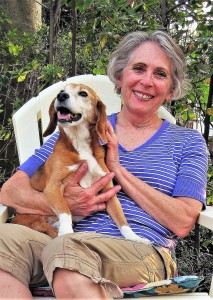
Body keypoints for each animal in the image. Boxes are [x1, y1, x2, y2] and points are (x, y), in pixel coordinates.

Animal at [12, 82, 150, 244]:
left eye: (83, 93)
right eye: (61, 91)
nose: (61, 96)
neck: (80, 143)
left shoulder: (108, 191)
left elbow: (122, 220)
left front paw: (135, 238)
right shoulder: (53, 187)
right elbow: (65, 211)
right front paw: (66, 232)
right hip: (35, 219)